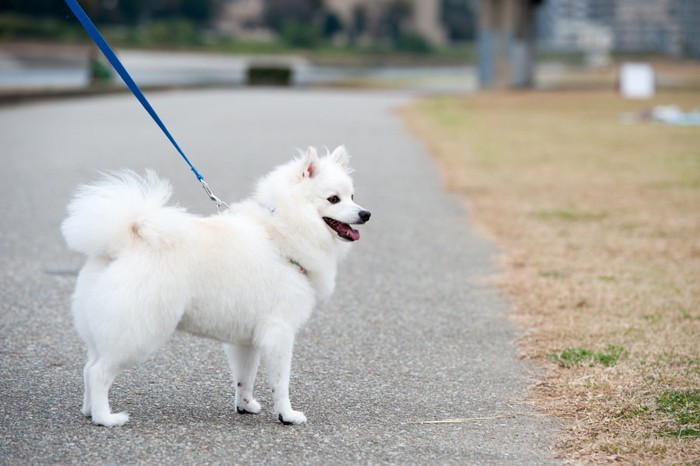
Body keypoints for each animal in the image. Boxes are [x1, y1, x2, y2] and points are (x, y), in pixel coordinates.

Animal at [62, 146, 370, 426]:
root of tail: (123, 242)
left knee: (88, 368)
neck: (281, 232)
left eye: (353, 196)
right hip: (138, 333)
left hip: (103, 330)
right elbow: (281, 382)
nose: (366, 214)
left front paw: (245, 405)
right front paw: (287, 415)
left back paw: (89, 411)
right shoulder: (279, 331)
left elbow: (245, 378)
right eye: (333, 199)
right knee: (99, 372)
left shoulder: (246, 338)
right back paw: (105, 418)